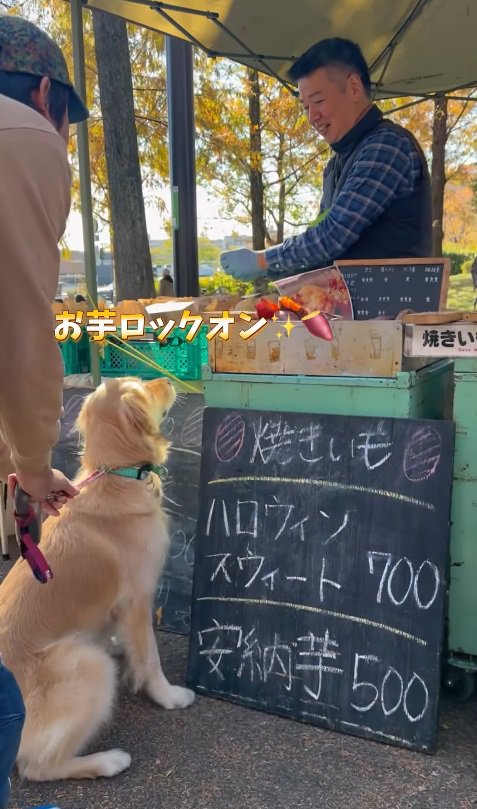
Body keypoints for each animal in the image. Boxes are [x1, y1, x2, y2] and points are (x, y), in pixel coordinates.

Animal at [0, 378, 195, 784]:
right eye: (145, 387)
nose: (167, 380)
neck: (118, 475)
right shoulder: (138, 598)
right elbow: (150, 657)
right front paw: (168, 697)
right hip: (89, 666)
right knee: (37, 766)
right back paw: (108, 760)